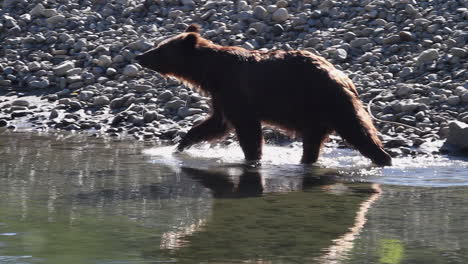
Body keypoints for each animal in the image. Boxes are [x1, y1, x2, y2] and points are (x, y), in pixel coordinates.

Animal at [134, 24, 392, 165]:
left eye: (160, 49)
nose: (139, 55)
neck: (210, 73)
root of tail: (345, 77)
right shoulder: (221, 96)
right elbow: (215, 123)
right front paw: (179, 146)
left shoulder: (236, 90)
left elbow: (246, 129)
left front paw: (252, 158)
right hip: (315, 115)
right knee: (313, 143)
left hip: (327, 101)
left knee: (358, 131)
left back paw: (383, 158)